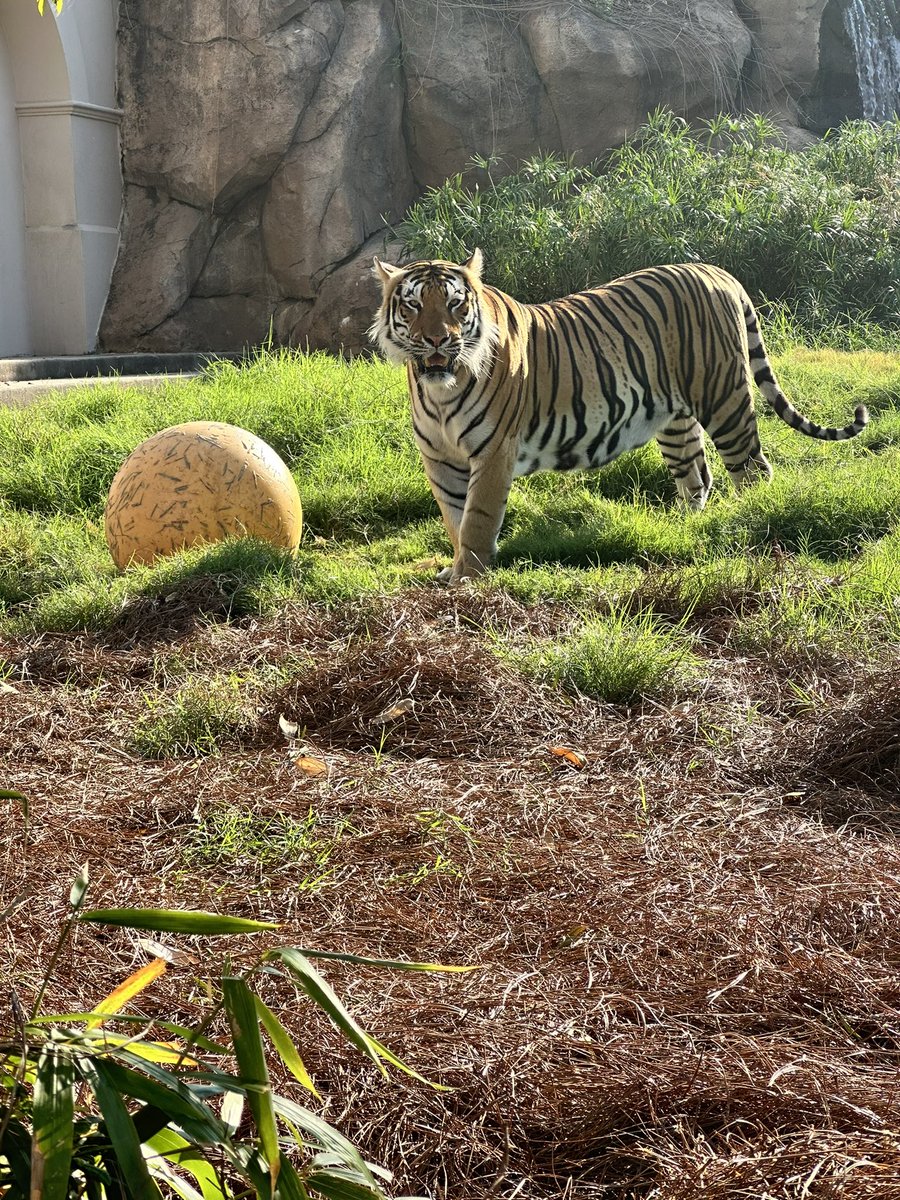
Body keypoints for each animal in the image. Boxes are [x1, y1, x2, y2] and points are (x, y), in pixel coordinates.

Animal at [369, 250, 869, 586]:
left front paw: (468, 578)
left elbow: (476, 519)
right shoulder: (439, 457)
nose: (437, 340)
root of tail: (716, 270)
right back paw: (687, 533)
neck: (440, 389)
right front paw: (455, 569)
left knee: (753, 470)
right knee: (698, 476)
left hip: (723, 397)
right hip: (675, 421)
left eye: (455, 303)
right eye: (413, 305)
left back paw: (752, 528)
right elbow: (454, 519)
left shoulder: (493, 452)